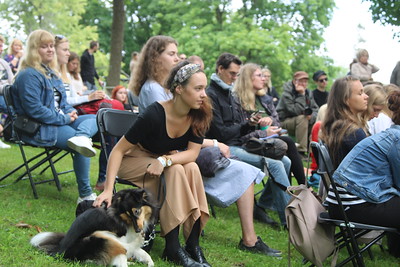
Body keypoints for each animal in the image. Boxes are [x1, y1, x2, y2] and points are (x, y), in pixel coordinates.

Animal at [29, 188, 157, 267]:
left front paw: (149, 262)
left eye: (136, 211)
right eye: (128, 214)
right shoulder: (122, 236)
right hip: (98, 235)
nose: (138, 230)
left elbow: (141, 252)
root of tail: (59, 251)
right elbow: (128, 250)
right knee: (124, 250)